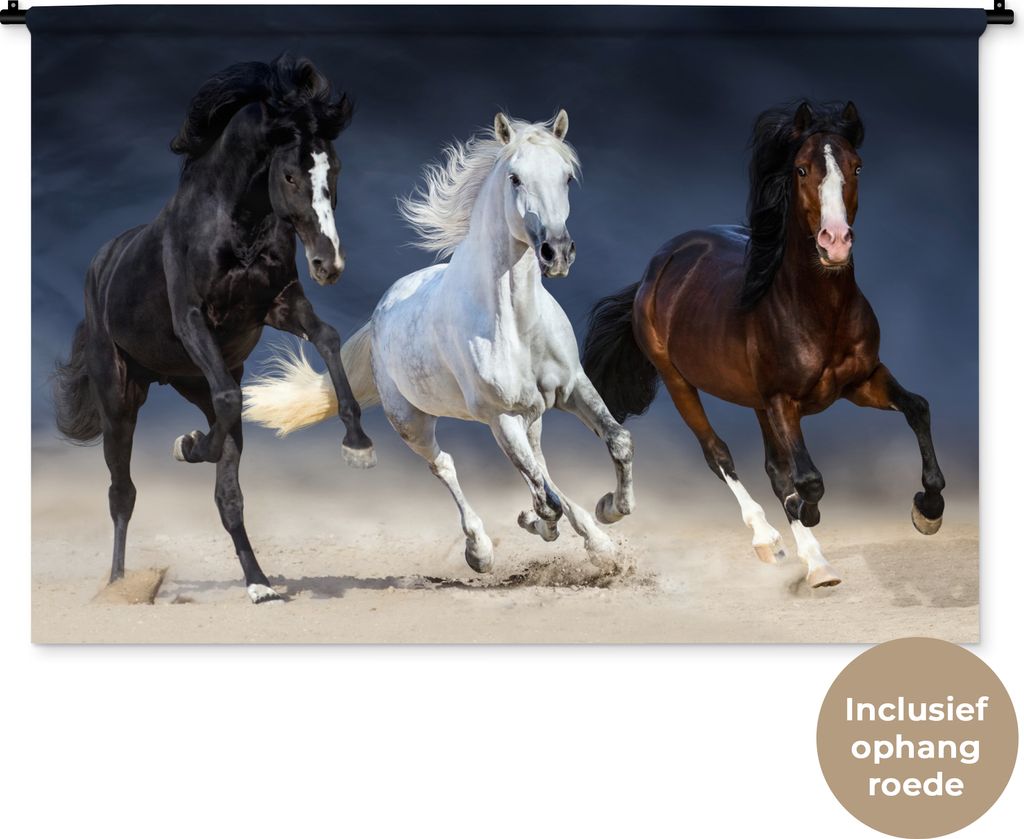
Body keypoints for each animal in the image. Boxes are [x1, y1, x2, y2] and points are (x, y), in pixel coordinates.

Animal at [52, 56, 376, 605]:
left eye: (334, 171)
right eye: (290, 174)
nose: (329, 264)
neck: (235, 225)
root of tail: (103, 264)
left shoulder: (280, 304)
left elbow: (329, 338)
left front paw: (358, 443)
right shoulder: (192, 319)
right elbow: (227, 398)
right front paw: (187, 446)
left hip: (189, 381)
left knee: (228, 491)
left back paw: (259, 584)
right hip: (120, 400)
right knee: (122, 493)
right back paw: (118, 586)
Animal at [243, 111, 635, 572]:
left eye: (567, 177)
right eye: (515, 178)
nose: (556, 252)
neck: (516, 325)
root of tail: (379, 314)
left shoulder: (572, 386)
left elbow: (617, 441)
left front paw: (610, 510)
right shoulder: (501, 416)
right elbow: (545, 500)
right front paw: (538, 523)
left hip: (531, 416)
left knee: (541, 465)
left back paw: (596, 541)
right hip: (413, 423)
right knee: (446, 466)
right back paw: (480, 550)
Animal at [582, 100, 945, 588]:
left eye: (857, 166)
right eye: (801, 168)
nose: (835, 242)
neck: (818, 310)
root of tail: (657, 267)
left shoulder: (863, 381)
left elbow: (917, 409)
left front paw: (929, 509)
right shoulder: (782, 400)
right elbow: (808, 480)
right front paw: (806, 515)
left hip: (755, 401)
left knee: (774, 470)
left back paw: (815, 562)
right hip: (680, 382)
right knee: (719, 455)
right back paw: (772, 541)